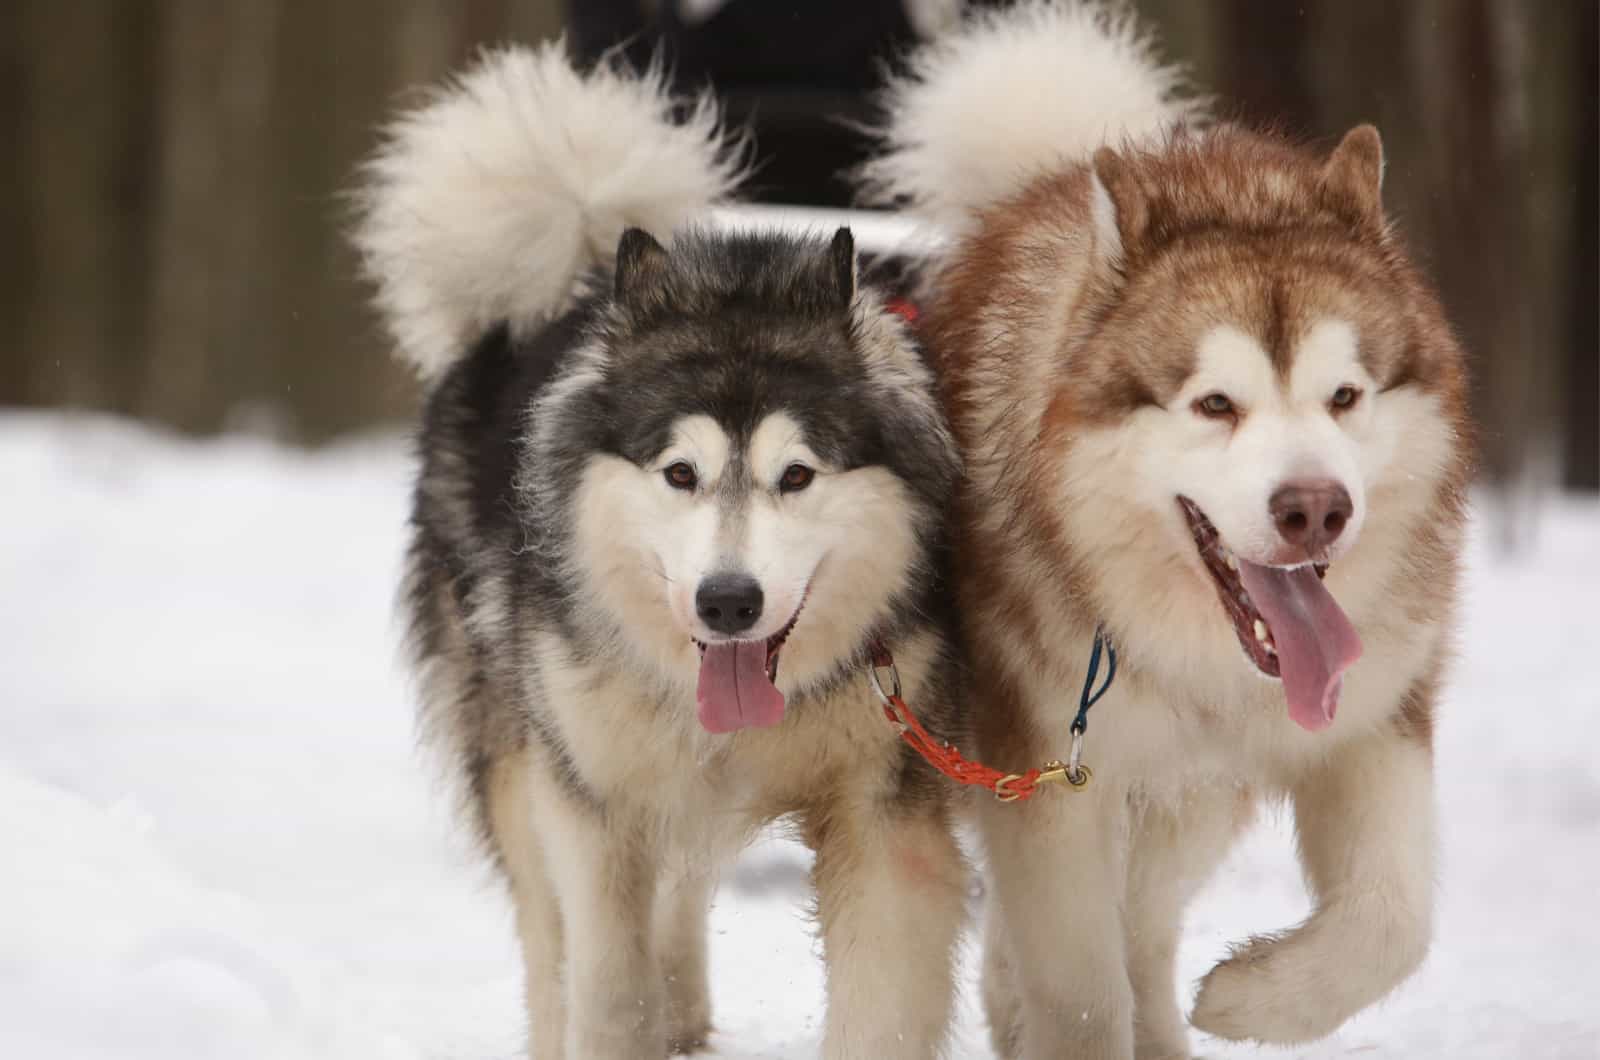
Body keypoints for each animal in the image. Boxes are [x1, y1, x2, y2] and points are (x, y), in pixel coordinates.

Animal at [356, 43, 966, 1060]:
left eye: (797, 475)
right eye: (680, 472)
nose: (728, 601)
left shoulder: (884, 803)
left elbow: (879, 995)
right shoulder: (593, 804)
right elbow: (604, 983)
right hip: (516, 743)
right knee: (550, 940)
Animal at [864, 2, 1472, 1060]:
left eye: (1345, 396)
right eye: (1215, 404)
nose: (1315, 507)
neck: (1200, 656)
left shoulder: (1372, 714)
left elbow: (1392, 920)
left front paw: (1253, 998)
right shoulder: (1048, 780)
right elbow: (1078, 991)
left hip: (1192, 792)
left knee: (1143, 927)